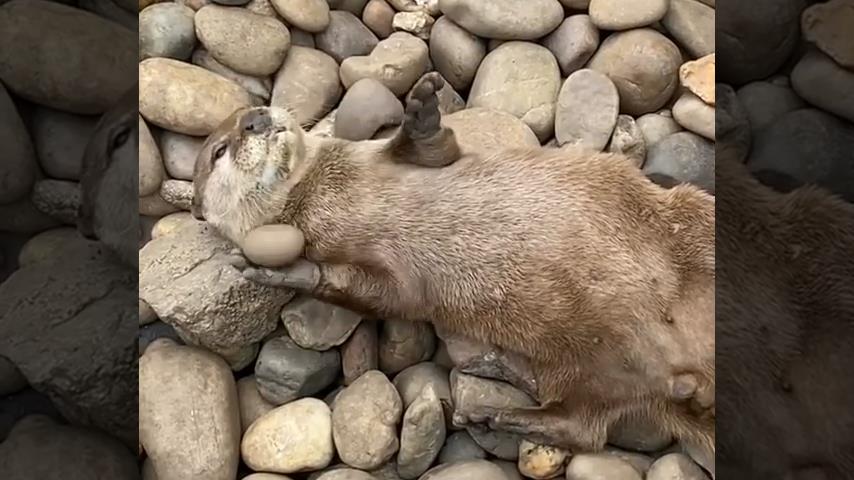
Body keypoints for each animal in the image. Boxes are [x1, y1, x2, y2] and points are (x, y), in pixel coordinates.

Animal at [193, 73, 715, 458]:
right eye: (219, 151)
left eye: (255, 111)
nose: (255, 120)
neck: (320, 193)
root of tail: (688, 376)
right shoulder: (388, 275)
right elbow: (381, 295)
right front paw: (287, 271)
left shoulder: (388, 159)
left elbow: (430, 150)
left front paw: (422, 109)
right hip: (595, 370)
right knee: (583, 424)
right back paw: (499, 409)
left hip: (689, 225)